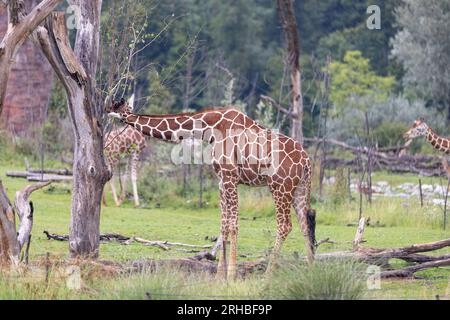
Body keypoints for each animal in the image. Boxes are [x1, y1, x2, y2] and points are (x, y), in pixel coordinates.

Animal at [107, 99, 316, 278]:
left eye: (115, 106)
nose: (106, 112)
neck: (208, 128)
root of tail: (306, 161)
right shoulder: (221, 179)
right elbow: (223, 224)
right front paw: (219, 276)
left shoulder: (230, 175)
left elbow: (233, 225)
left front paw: (231, 276)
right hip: (300, 188)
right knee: (305, 224)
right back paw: (310, 271)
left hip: (280, 186)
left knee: (285, 226)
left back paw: (267, 276)